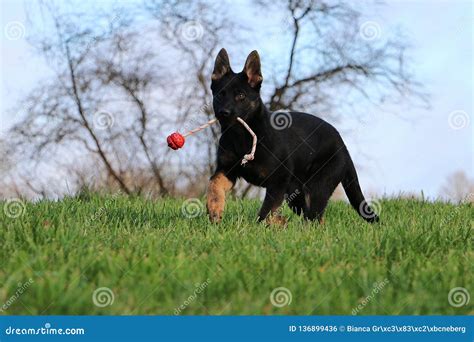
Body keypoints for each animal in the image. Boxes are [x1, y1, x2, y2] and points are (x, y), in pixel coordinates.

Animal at [206, 48, 380, 224]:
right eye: (220, 95)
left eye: (241, 96)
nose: (224, 113)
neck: (242, 136)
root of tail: (343, 145)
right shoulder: (227, 170)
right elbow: (214, 183)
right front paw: (214, 210)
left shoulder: (279, 180)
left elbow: (266, 211)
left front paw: (263, 225)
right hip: (295, 192)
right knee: (312, 217)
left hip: (317, 187)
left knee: (314, 217)